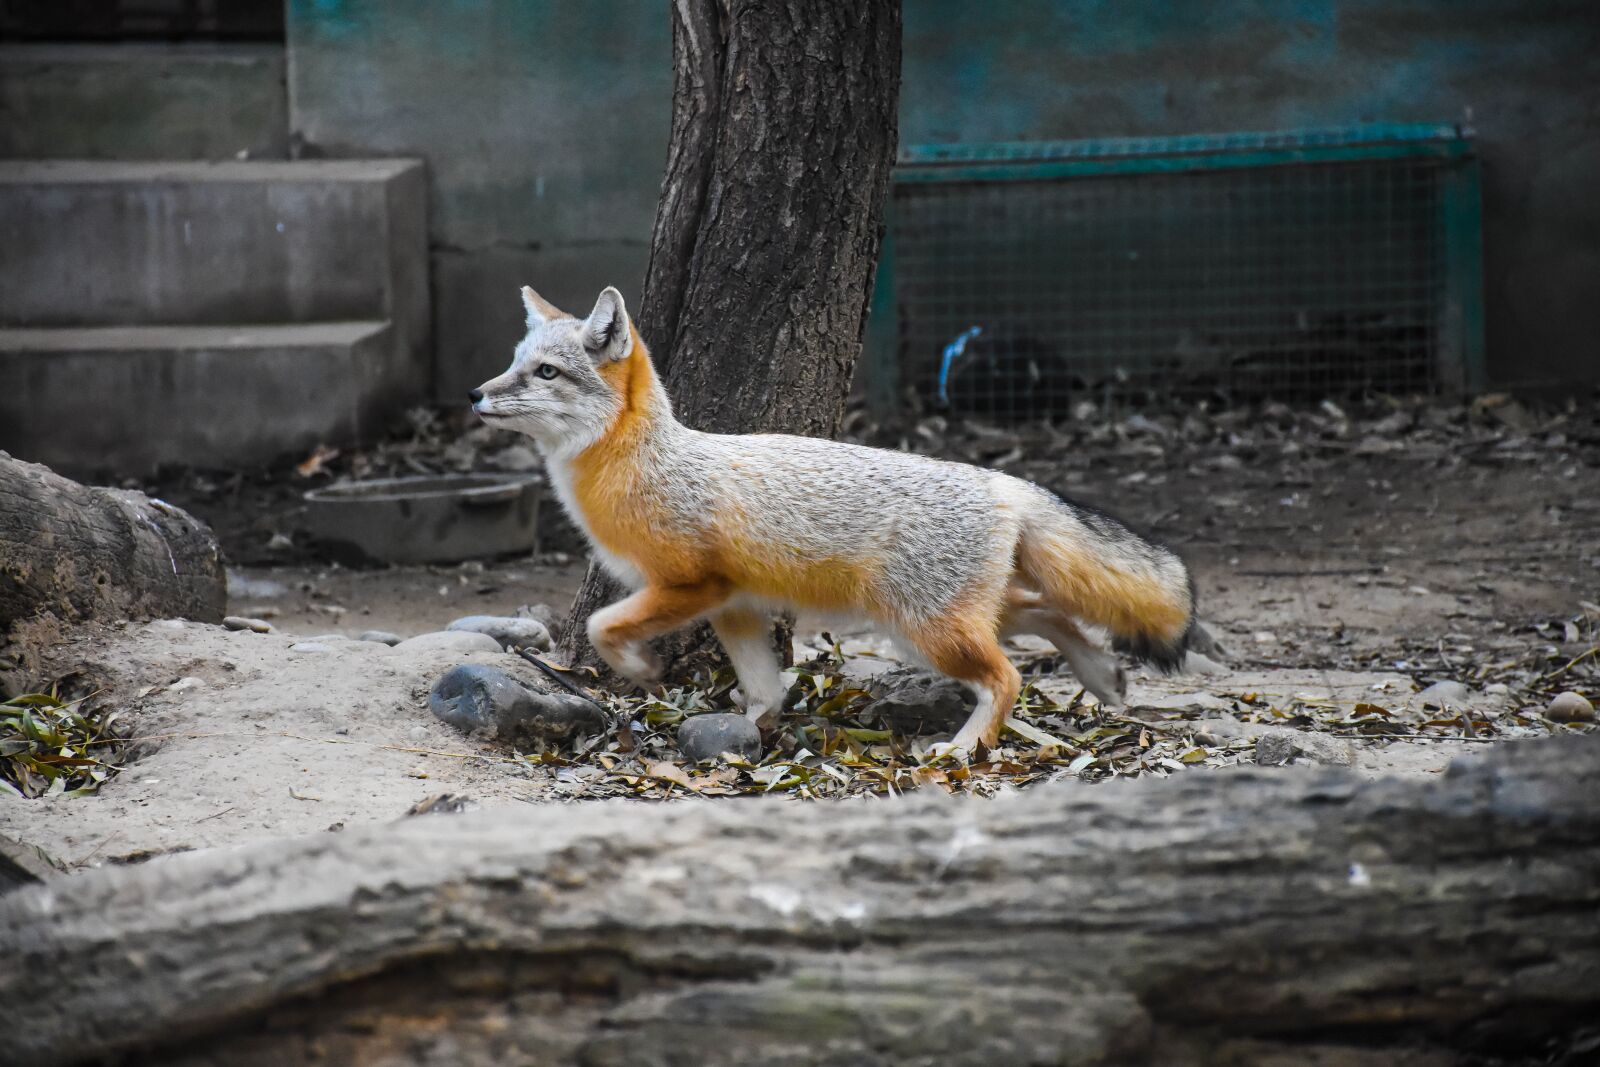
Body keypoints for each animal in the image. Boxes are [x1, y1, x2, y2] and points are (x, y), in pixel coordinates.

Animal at [471, 285, 1206, 757]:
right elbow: (764, 689)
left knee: (1009, 677)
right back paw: (1102, 675)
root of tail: (1000, 480)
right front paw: (752, 733)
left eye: (545, 372)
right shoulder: (735, 606)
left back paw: (966, 747)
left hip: (925, 629)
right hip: (931, 620)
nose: (476, 393)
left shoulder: (690, 585)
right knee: (1042, 612)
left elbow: (601, 624)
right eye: (512, 363)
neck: (646, 465)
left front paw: (640, 667)